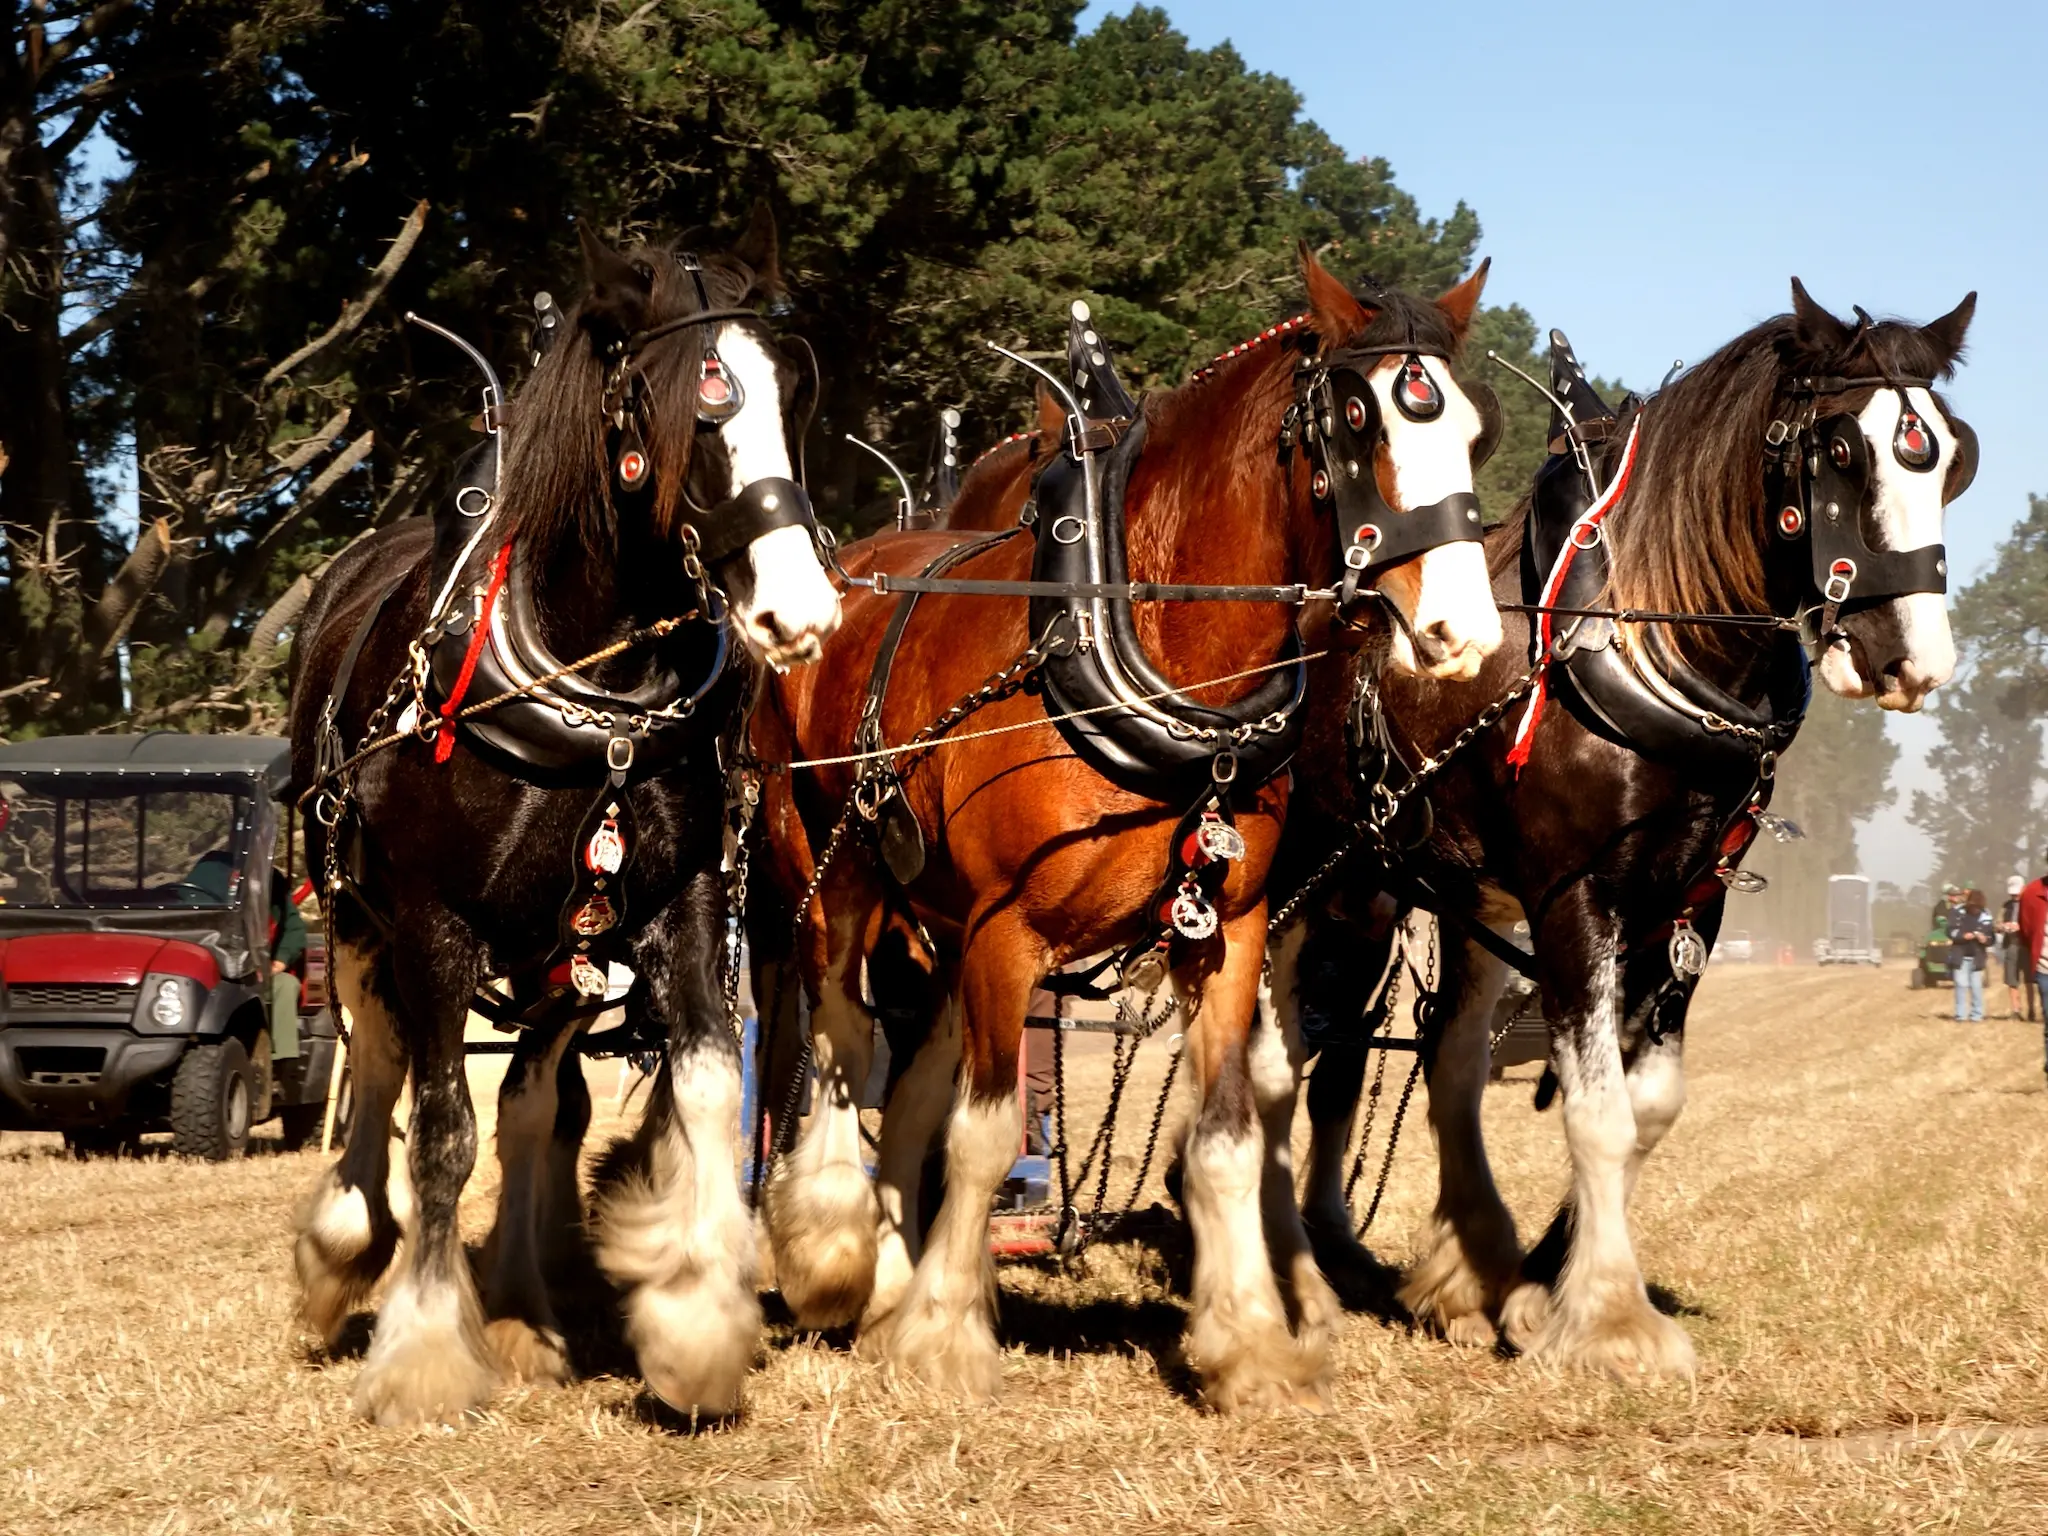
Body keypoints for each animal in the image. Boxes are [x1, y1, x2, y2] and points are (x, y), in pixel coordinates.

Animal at [284, 207, 835, 1433]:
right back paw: (347, 1248)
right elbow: (443, 1129)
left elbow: (706, 1083)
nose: (802, 612)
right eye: (696, 410)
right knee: (382, 1066)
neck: (595, 680)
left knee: (537, 1102)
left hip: (560, 956)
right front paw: (423, 1356)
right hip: (352, 913)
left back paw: (524, 1308)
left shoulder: (680, 905)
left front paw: (694, 1324)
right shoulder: (431, 926)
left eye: (794, 395)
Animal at [753, 249, 1507, 1409]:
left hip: (937, 923)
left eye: (1473, 430)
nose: (1461, 632)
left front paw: (1250, 1345)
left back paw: (891, 1277)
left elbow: (1227, 1136)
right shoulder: (1006, 933)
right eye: (1354, 417)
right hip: (829, 878)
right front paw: (944, 1337)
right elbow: (982, 1136)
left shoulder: (1225, 931)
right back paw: (840, 1257)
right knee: (841, 1039)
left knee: (912, 1080)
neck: (1129, 633)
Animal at [1269, 280, 1974, 1384]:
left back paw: (1464, 1272)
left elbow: (1647, 1106)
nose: (1912, 660)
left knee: (1433, 1064)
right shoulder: (1576, 899)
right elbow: (1595, 1110)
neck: (1650, 634)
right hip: (1310, 875)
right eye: (1837, 450)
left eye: (1948, 454)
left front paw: (1542, 1286)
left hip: (1436, 892)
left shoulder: (1688, 907)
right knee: (1284, 1045)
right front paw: (1608, 1321)